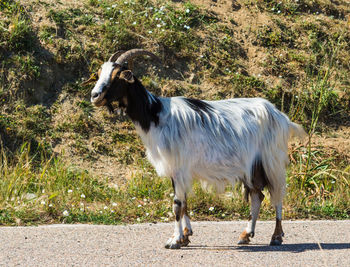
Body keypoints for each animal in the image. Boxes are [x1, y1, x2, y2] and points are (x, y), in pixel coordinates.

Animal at [83, 49, 304, 250]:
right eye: (99, 73)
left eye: (117, 77)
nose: (95, 96)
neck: (155, 115)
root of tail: (280, 116)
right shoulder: (177, 170)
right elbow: (184, 203)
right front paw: (185, 236)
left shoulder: (179, 166)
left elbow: (177, 204)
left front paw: (174, 240)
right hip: (251, 166)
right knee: (258, 196)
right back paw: (245, 235)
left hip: (271, 160)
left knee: (277, 195)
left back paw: (276, 237)